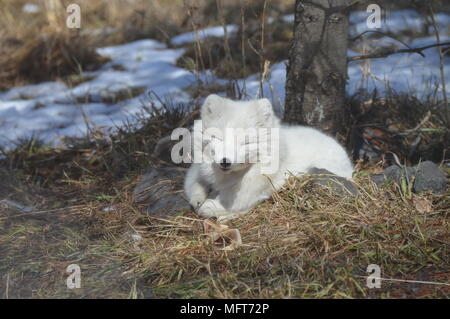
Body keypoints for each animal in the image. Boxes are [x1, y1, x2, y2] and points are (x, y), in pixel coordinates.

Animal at [183, 94, 352, 220]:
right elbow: (194, 185)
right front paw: (198, 198)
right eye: (218, 138)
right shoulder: (197, 170)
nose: (225, 161)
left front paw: (211, 207)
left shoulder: (254, 189)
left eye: (246, 142)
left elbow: (234, 202)